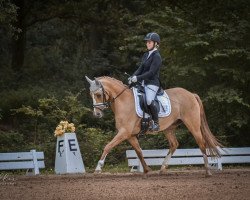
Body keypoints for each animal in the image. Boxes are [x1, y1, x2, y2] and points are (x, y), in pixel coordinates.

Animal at [85, 76, 222, 176]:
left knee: (201, 144)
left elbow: (108, 146)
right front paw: (146, 170)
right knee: (174, 144)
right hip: (169, 128)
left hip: (193, 125)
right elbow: (139, 151)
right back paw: (162, 168)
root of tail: (191, 94)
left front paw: (98, 168)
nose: (97, 114)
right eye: (90, 95)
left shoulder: (124, 132)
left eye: (98, 94)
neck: (123, 101)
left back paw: (207, 171)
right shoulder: (130, 135)